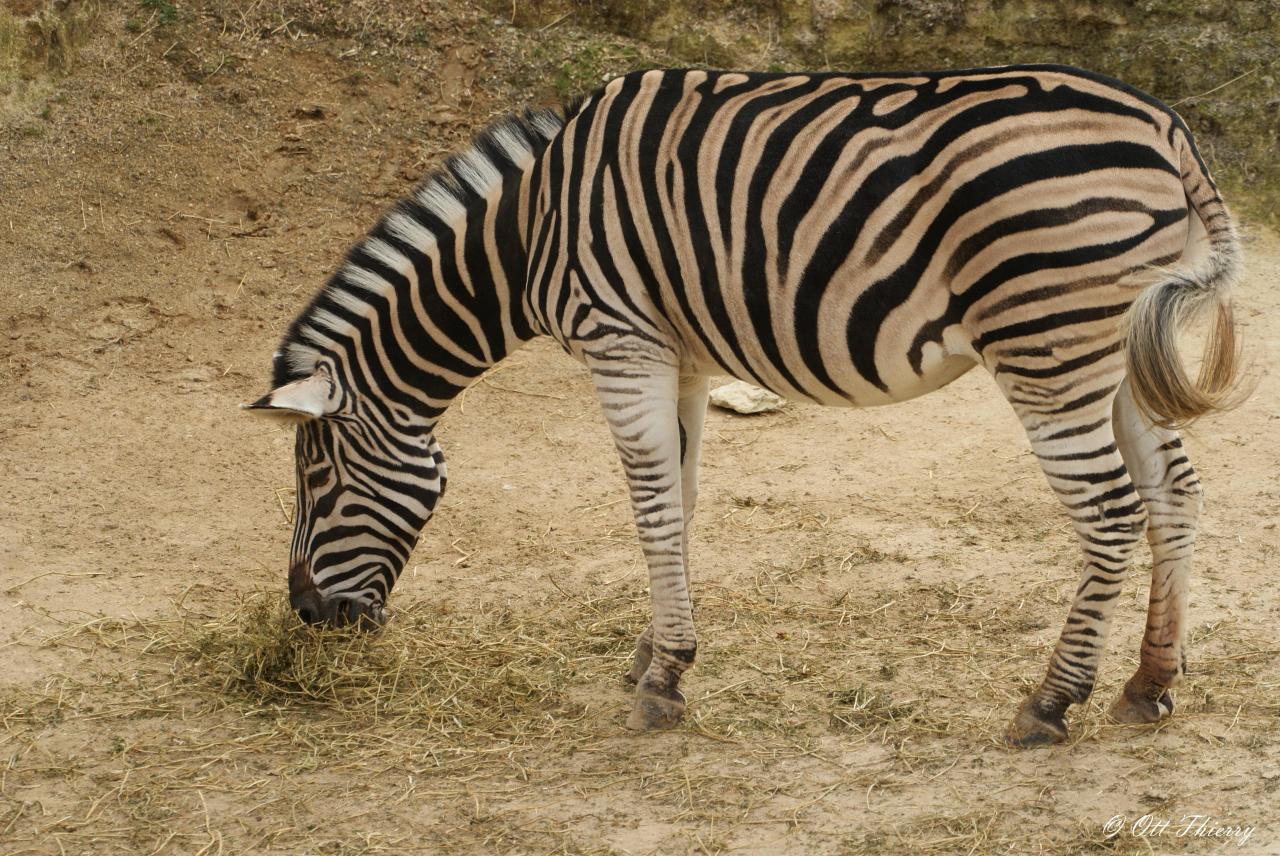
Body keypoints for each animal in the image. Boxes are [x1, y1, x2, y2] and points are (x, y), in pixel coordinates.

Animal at [247, 63, 1239, 742]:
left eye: (318, 481)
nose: (306, 618)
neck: (529, 231)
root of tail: (1166, 128)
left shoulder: (620, 340)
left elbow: (649, 509)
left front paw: (662, 684)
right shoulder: (677, 356)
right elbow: (679, 504)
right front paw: (653, 653)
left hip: (1047, 347)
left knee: (1112, 514)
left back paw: (1051, 702)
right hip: (1117, 350)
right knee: (1175, 492)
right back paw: (1149, 683)